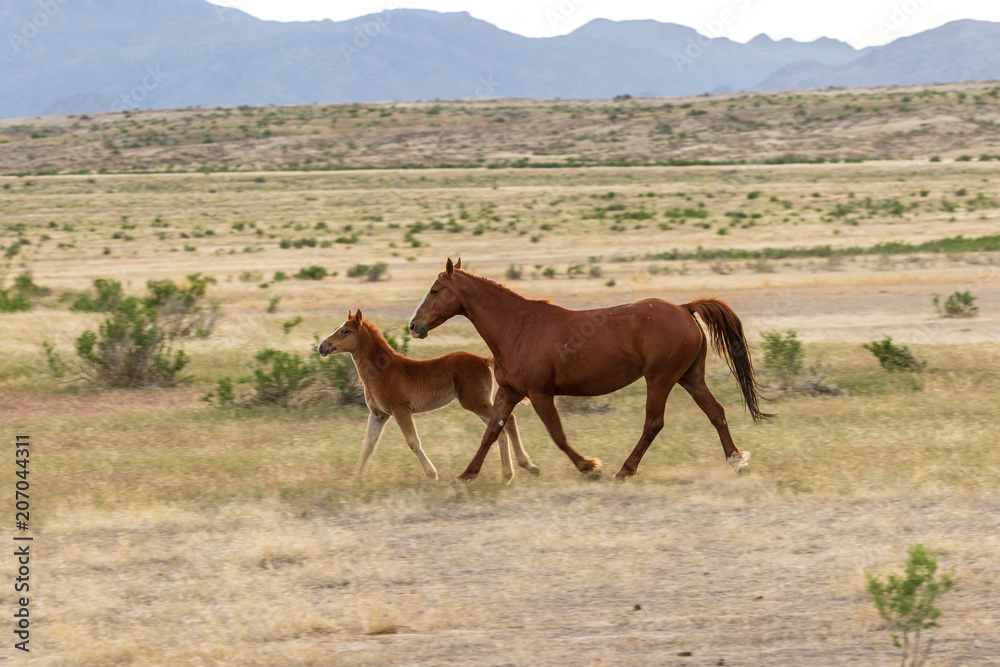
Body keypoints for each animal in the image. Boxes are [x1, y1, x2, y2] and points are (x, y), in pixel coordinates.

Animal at [318, 310, 538, 482]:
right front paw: (355, 478)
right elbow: (368, 444)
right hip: (478, 403)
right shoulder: (378, 414)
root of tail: (483, 359)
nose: (322, 346)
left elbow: (413, 441)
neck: (381, 371)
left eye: (345, 331)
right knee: (502, 427)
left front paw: (432, 474)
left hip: (475, 402)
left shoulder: (400, 409)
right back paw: (511, 473)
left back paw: (524, 467)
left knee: (508, 421)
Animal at [408, 258, 772, 483]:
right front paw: (464, 477)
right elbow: (491, 432)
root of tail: (685, 308)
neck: (518, 328)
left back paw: (624, 471)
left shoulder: (540, 393)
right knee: (716, 413)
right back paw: (737, 462)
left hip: (661, 379)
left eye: (435, 291)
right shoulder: (510, 392)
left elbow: (557, 434)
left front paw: (590, 468)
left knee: (654, 423)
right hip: (690, 377)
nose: (414, 325)